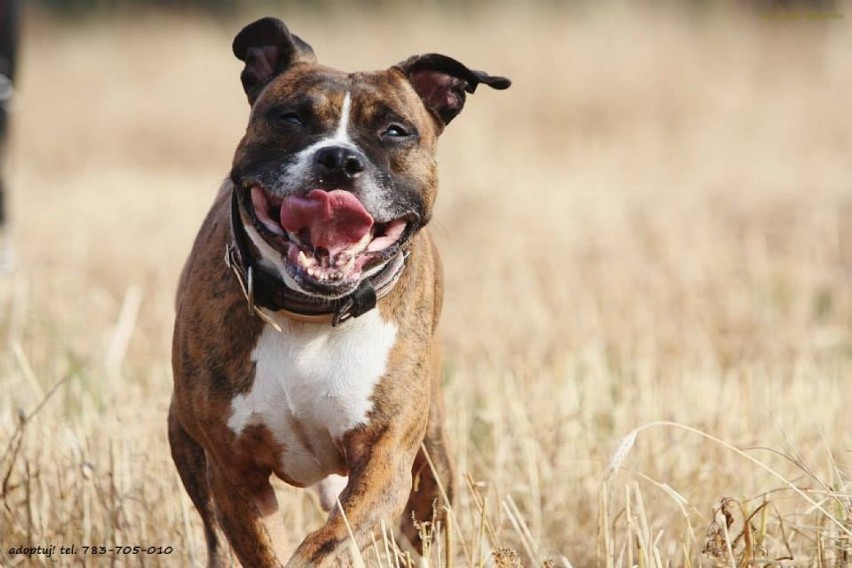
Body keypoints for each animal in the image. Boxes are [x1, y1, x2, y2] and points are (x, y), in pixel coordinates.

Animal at [170, 17, 510, 568]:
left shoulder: (384, 461)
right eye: (291, 118)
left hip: (432, 459)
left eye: (394, 130)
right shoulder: (235, 474)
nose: (339, 159)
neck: (310, 315)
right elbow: (267, 549)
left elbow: (324, 543)